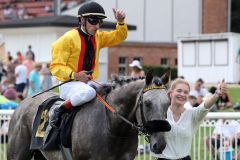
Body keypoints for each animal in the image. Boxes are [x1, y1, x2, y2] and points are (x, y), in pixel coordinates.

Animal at [6, 71, 170, 160]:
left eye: (168, 104)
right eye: (147, 103)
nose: (160, 144)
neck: (112, 127)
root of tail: (23, 102)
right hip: (17, 153)